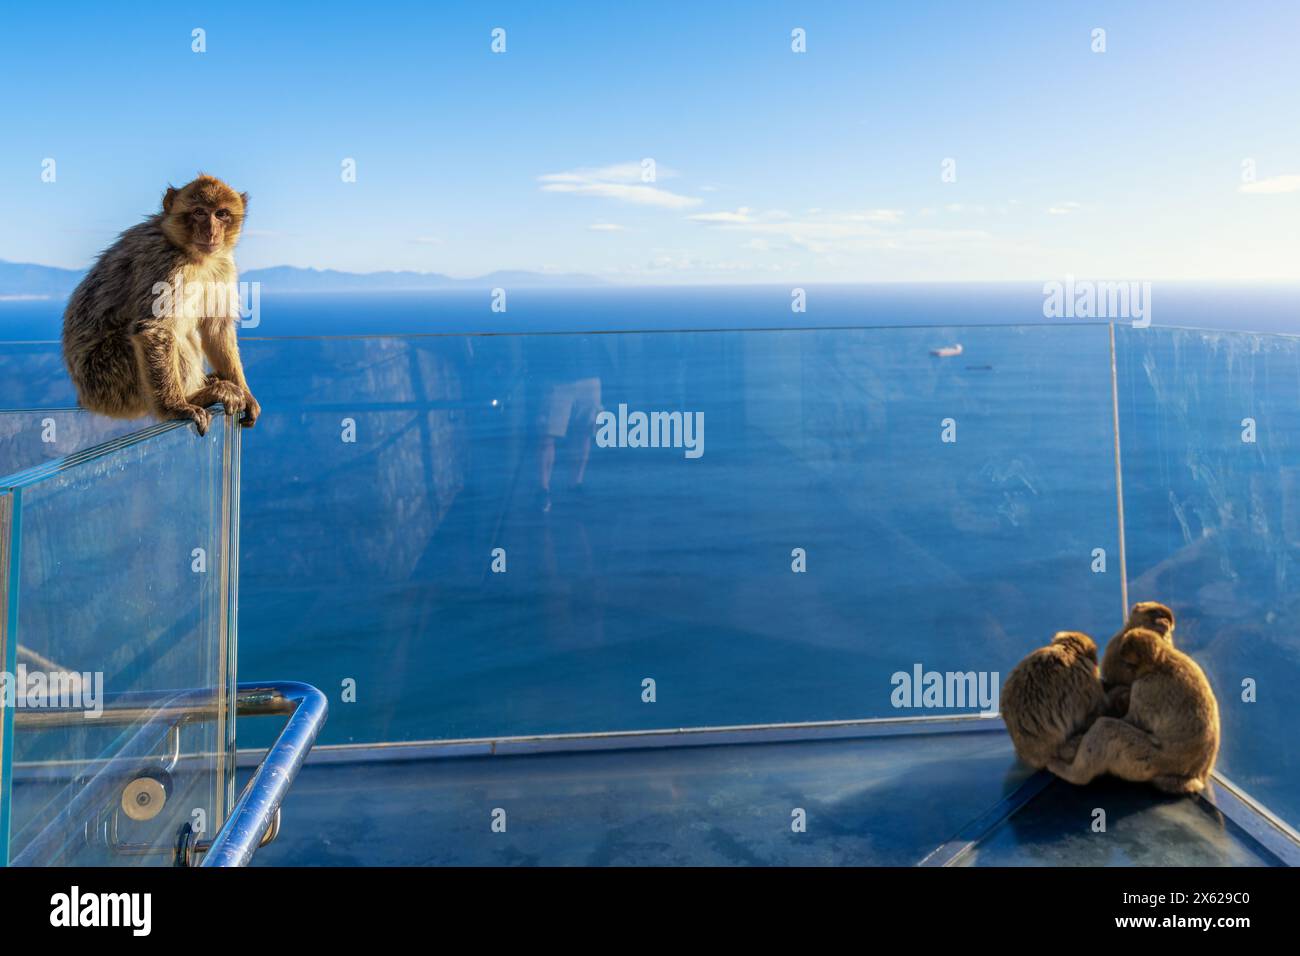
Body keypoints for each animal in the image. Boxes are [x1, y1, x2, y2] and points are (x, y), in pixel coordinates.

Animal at [62, 175, 260, 437]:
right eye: (199, 212)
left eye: (221, 214)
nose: (211, 231)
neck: (194, 256)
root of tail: (84, 397)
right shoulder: (165, 262)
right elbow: (153, 329)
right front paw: (176, 408)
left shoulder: (223, 264)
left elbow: (217, 327)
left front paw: (247, 395)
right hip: (109, 379)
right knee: (170, 339)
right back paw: (198, 396)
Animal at [1045, 624, 1216, 796]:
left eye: (1128, 664)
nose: (1127, 673)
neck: (1162, 662)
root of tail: (1193, 777)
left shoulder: (1144, 689)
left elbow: (1133, 720)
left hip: (1148, 761)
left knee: (1107, 729)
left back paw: (1071, 773)